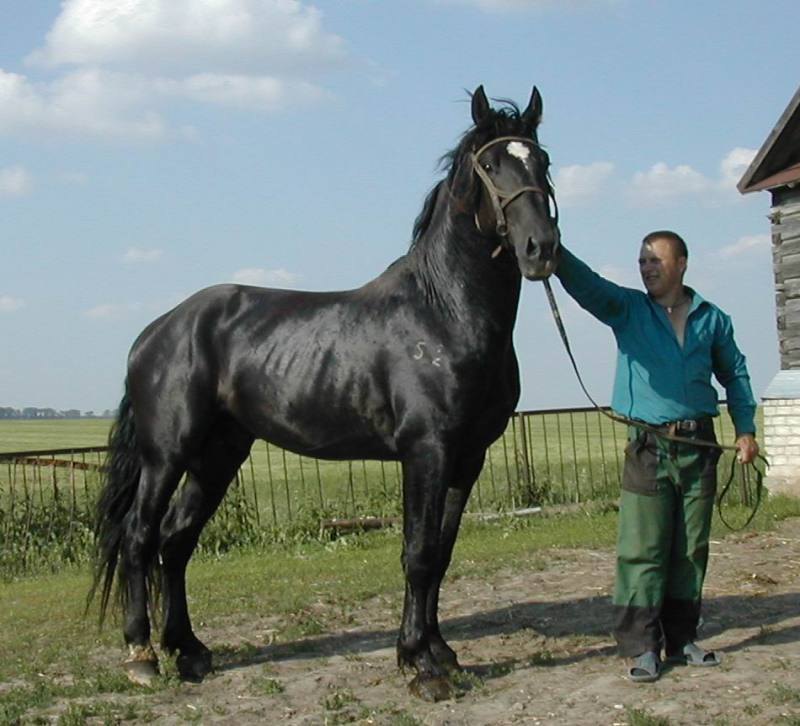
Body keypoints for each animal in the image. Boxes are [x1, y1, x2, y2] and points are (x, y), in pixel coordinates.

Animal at [89, 86, 564, 704]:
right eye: (490, 165)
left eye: (542, 161)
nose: (541, 248)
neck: (441, 314)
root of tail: (156, 331)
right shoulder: (426, 452)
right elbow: (417, 554)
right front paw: (419, 664)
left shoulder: (468, 457)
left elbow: (441, 553)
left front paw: (442, 652)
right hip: (166, 456)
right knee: (139, 538)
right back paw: (142, 656)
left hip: (218, 456)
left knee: (176, 540)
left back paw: (189, 651)